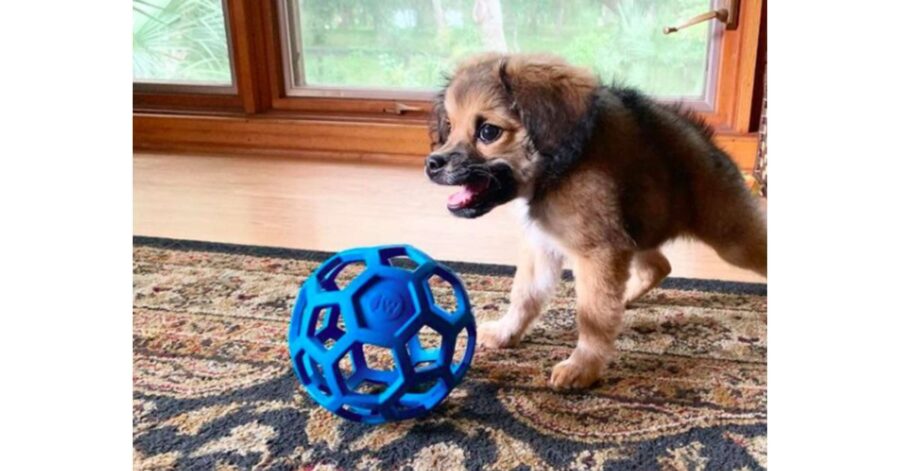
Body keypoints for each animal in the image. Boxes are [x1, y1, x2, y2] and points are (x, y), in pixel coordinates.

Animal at [428, 52, 768, 390]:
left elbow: (592, 315)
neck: (554, 173)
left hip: (730, 237)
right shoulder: (546, 245)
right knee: (658, 265)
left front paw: (583, 366)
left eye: (488, 132)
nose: (431, 163)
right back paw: (626, 296)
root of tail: (704, 141)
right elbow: (525, 296)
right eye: (450, 125)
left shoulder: (598, 251)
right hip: (638, 228)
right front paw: (505, 333)